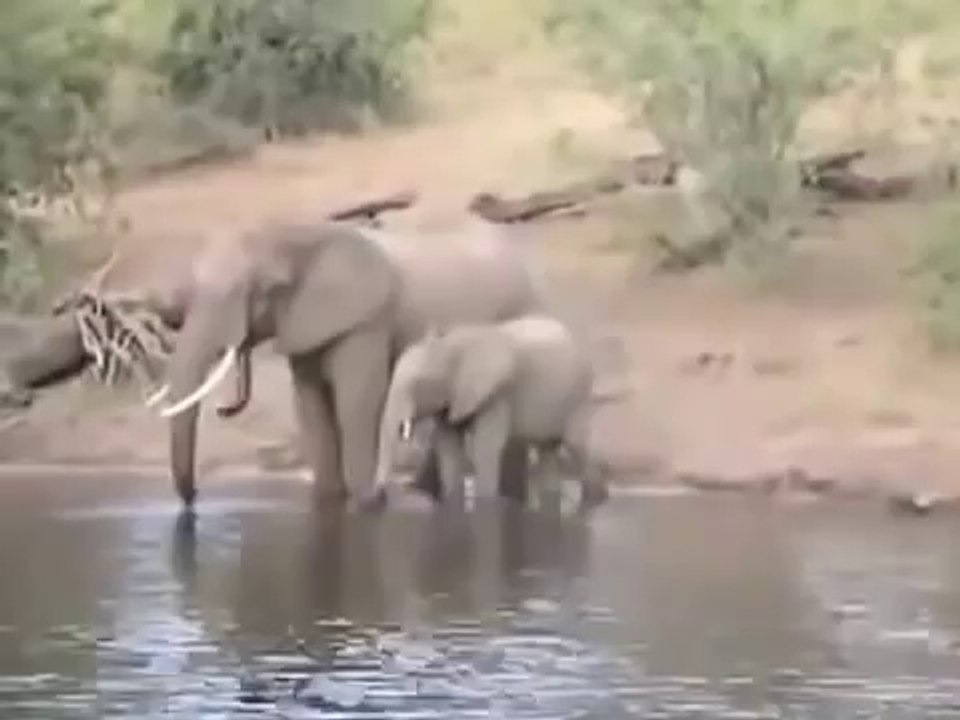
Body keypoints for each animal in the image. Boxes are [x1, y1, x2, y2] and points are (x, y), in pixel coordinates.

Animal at [144, 218, 543, 507]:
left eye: (263, 289)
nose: (194, 498)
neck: (293, 233)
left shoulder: (365, 323)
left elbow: (356, 402)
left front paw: (367, 503)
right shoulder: (305, 326)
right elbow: (311, 408)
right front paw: (331, 500)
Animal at [367, 315, 610, 511]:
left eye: (418, 384)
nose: (376, 499)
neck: (453, 345)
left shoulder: (497, 393)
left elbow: (486, 447)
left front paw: (486, 506)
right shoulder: (452, 396)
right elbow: (449, 447)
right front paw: (452, 502)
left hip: (577, 394)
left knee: (576, 443)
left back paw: (596, 500)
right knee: (548, 449)